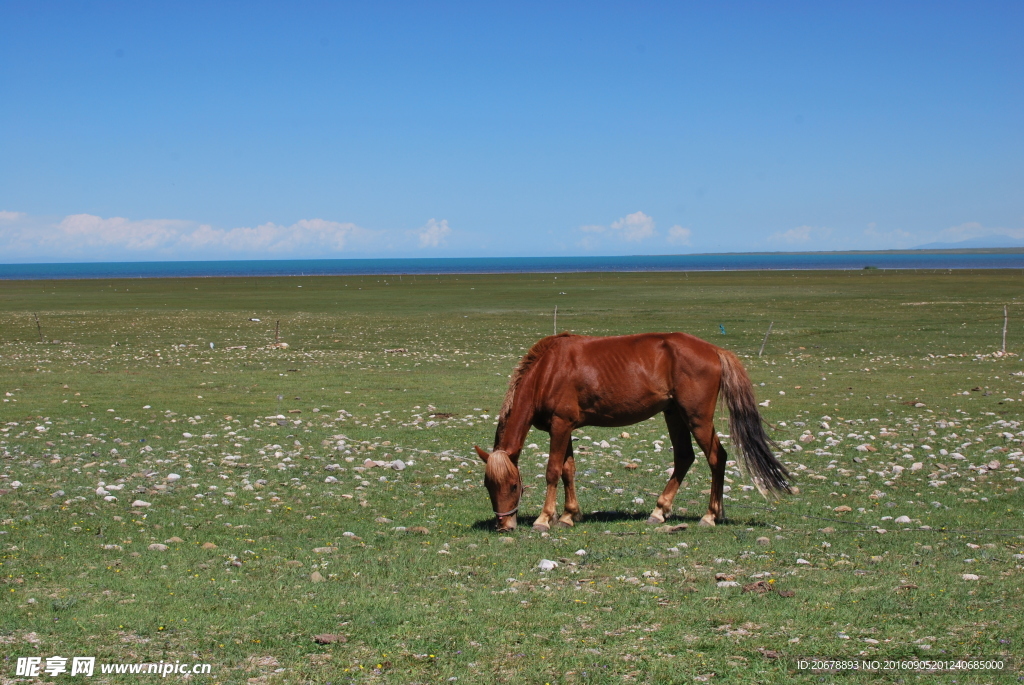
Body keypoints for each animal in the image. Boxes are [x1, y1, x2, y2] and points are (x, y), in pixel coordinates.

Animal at [473, 333, 790, 532]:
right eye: (488, 486)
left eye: (514, 486)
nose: (504, 526)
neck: (547, 371)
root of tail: (715, 351)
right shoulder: (566, 427)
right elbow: (568, 470)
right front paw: (569, 515)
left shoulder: (561, 425)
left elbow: (553, 470)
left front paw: (544, 519)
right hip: (674, 415)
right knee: (684, 457)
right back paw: (659, 511)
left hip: (697, 418)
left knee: (717, 457)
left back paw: (710, 515)